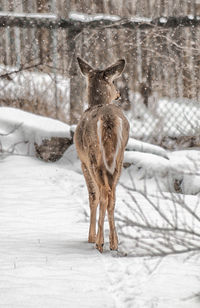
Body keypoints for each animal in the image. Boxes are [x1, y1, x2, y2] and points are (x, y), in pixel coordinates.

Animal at [74, 56, 129, 251]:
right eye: (113, 82)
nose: (118, 94)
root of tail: (108, 118)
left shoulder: (82, 162)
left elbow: (93, 196)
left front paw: (90, 237)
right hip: (120, 157)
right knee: (113, 195)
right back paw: (114, 242)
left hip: (93, 156)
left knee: (103, 193)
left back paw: (99, 242)